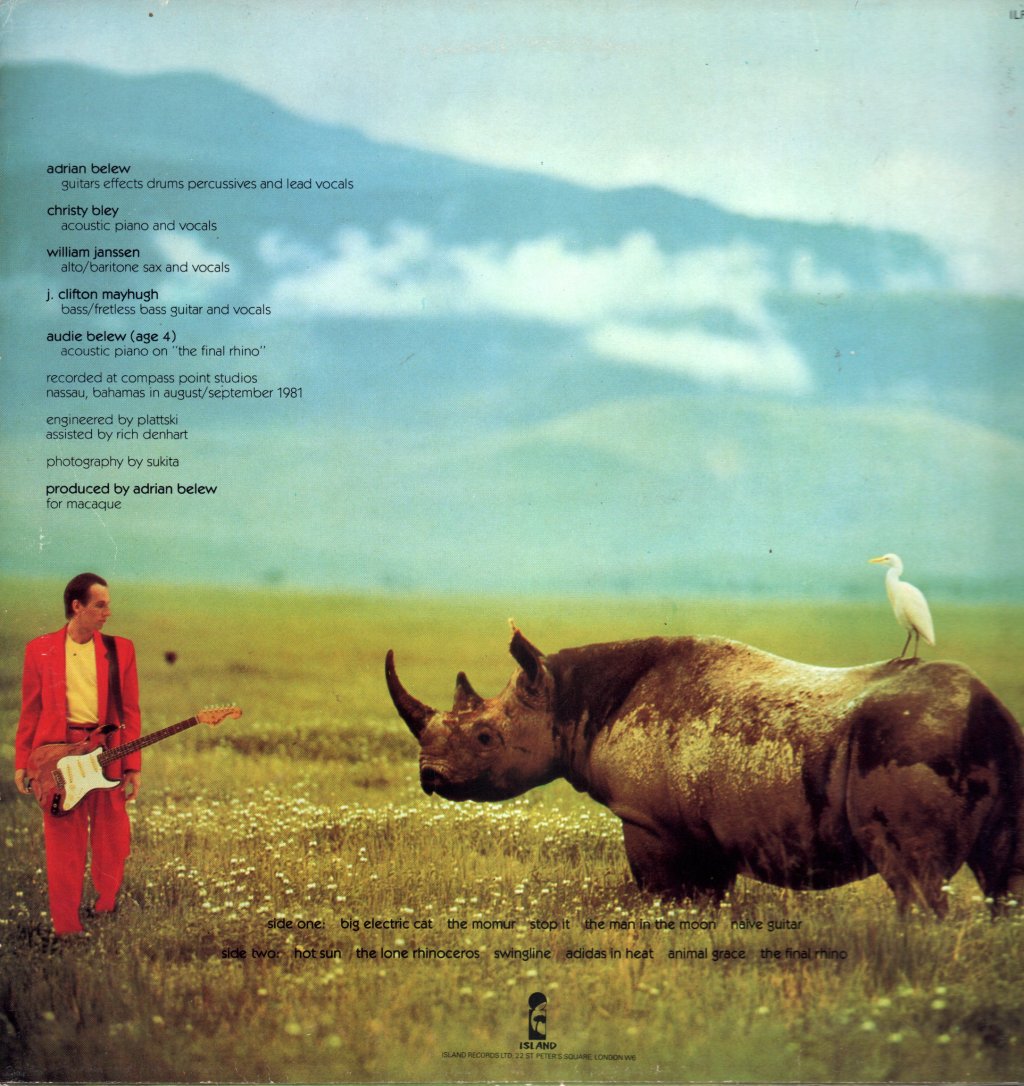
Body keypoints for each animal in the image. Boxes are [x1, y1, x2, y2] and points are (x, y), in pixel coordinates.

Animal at [385, 627, 1024, 915]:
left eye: (485, 738)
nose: (430, 777)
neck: (569, 701)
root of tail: (986, 707)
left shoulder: (650, 821)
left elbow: (663, 893)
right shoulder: (705, 827)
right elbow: (709, 898)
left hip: (910, 739)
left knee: (915, 878)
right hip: (993, 744)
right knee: (1005, 876)